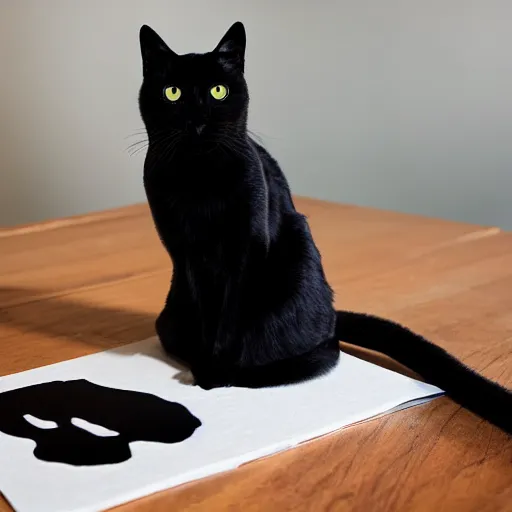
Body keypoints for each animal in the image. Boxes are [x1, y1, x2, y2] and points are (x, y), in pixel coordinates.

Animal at [138, 22, 510, 434]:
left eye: (219, 91)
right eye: (173, 93)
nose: (198, 121)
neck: (199, 181)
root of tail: (333, 315)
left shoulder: (245, 250)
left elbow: (229, 317)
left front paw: (216, 369)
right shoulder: (186, 255)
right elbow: (208, 313)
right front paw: (206, 362)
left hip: (297, 255)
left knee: (323, 351)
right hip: (172, 312)